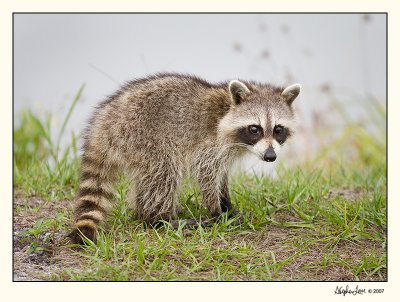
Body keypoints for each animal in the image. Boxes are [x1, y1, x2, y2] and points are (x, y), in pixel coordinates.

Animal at [69, 72, 300, 243]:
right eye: (255, 129)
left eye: (278, 129)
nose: (270, 156)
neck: (226, 109)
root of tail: (105, 120)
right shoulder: (209, 146)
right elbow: (207, 175)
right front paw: (217, 212)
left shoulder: (225, 153)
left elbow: (221, 177)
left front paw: (227, 206)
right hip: (142, 137)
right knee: (164, 174)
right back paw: (157, 219)